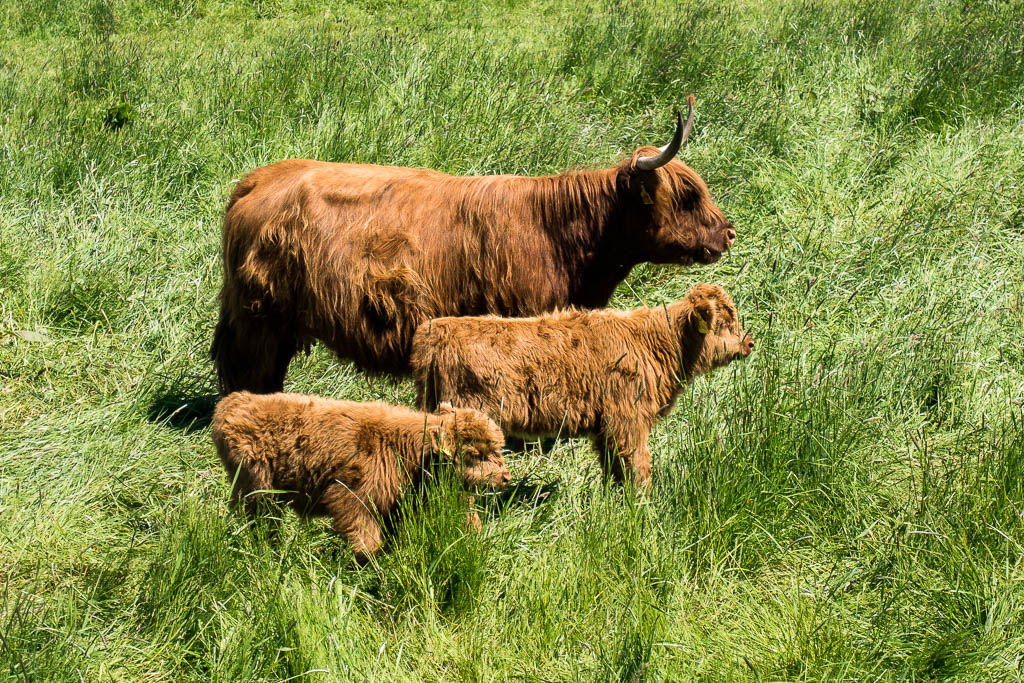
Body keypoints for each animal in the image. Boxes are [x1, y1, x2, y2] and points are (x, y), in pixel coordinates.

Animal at [211, 97, 737, 395]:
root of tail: (258, 178)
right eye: (688, 197)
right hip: (259, 317)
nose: (728, 233)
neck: (560, 236)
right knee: (249, 370)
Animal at [212, 393, 512, 557]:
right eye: (475, 453)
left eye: (497, 448)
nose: (505, 477)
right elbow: (366, 540)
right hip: (257, 492)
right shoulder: (353, 498)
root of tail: (232, 403)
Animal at [407, 282, 753, 485]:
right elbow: (638, 466)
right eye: (725, 323)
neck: (654, 344)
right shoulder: (628, 421)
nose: (749, 342)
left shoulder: (606, 429)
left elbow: (614, 469)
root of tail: (435, 330)